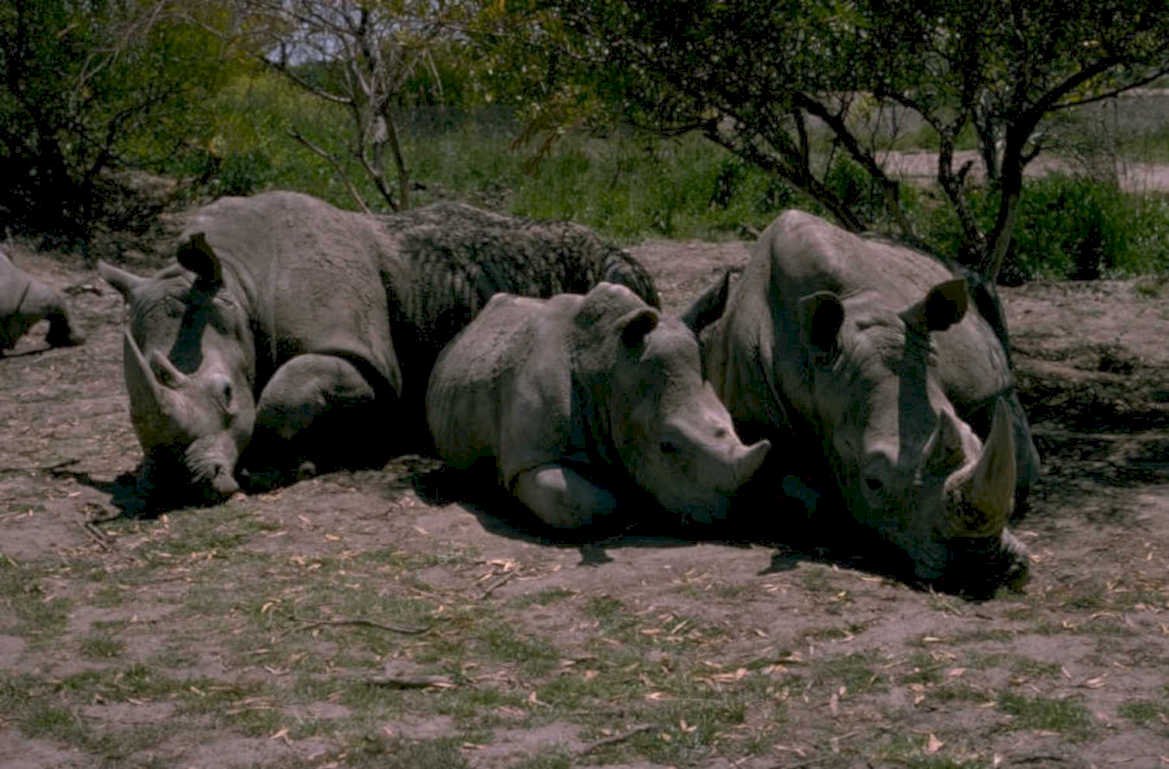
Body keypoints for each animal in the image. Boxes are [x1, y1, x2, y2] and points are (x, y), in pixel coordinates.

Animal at [98, 191, 659, 504]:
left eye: (227, 394)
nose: (174, 482)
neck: (237, 280)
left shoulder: (368, 363)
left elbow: (285, 393)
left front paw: (279, 469)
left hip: (610, 263)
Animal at [426, 282, 771, 527]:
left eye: (731, 424)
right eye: (666, 446)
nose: (729, 512)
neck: (607, 371)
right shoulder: (528, 459)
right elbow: (578, 501)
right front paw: (622, 493)